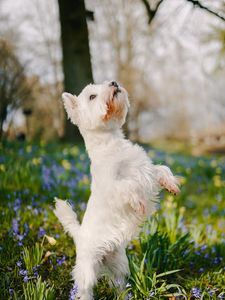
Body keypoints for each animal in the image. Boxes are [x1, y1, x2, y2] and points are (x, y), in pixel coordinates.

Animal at [54, 81, 179, 298]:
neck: (111, 142)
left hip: (120, 264)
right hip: (88, 270)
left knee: (118, 284)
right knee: (85, 289)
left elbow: (162, 169)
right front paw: (139, 203)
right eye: (92, 96)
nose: (114, 83)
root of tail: (79, 236)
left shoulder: (146, 171)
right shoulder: (113, 184)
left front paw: (171, 184)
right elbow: (129, 186)